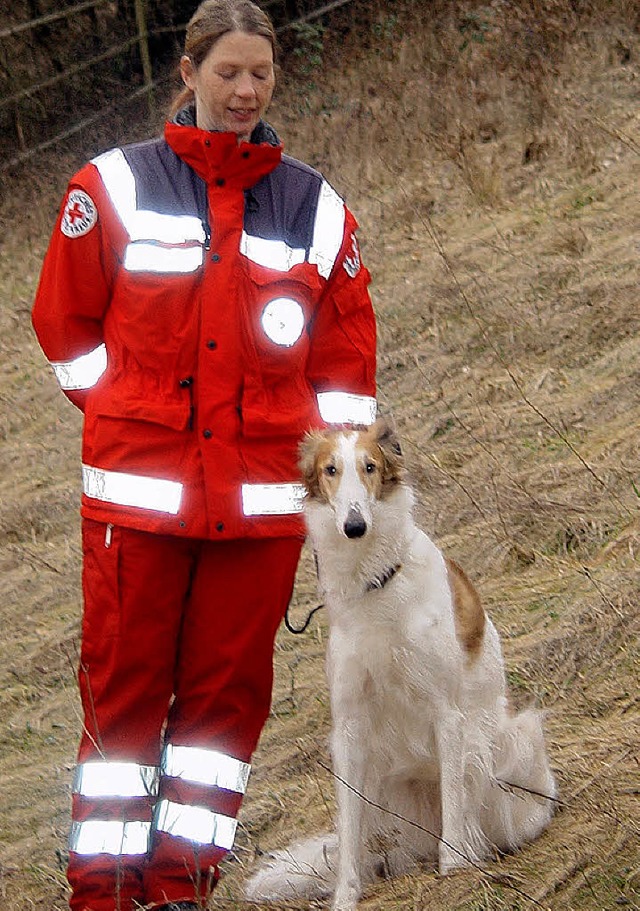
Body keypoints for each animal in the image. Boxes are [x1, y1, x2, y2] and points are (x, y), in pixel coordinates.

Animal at [245, 420, 556, 911]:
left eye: (370, 467)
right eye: (330, 470)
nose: (354, 526)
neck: (375, 583)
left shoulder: (447, 713)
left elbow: (454, 798)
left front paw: (455, 867)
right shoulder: (348, 727)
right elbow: (348, 829)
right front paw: (346, 894)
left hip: (511, 743)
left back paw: (476, 848)